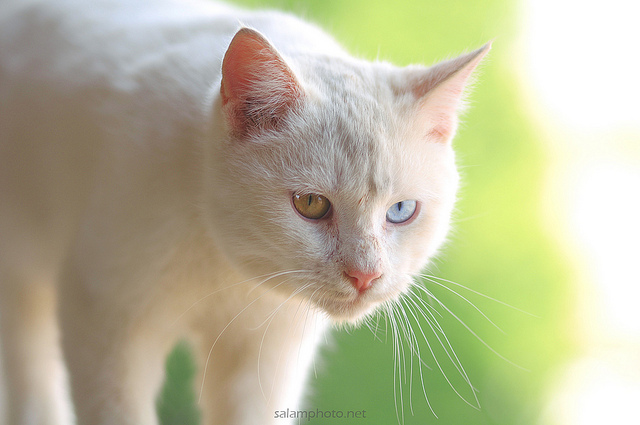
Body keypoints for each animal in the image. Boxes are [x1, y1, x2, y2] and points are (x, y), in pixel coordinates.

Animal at [1, 0, 490, 424]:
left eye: (402, 210)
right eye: (311, 204)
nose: (365, 276)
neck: (227, 270)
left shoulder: (268, 358)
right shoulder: (106, 325)